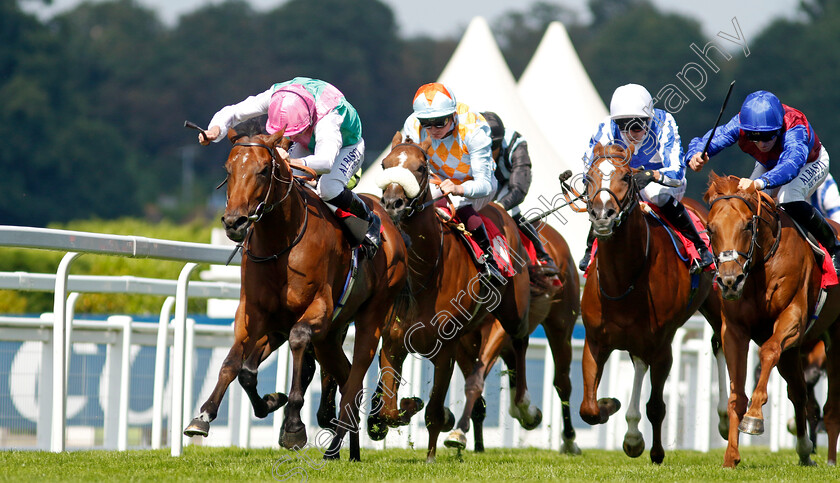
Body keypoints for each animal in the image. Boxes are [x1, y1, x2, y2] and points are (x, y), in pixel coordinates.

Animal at [182, 126, 408, 464]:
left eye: (264, 170)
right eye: (228, 169)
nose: (234, 222)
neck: (280, 244)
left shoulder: (317, 309)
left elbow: (299, 341)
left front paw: (292, 426)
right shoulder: (255, 313)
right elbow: (236, 366)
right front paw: (206, 416)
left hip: (372, 317)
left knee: (354, 378)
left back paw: (336, 446)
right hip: (330, 336)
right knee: (345, 380)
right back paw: (346, 450)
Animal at [370, 131, 532, 462]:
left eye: (421, 168)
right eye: (384, 164)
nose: (392, 204)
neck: (422, 275)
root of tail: (501, 211)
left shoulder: (444, 349)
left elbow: (433, 410)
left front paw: (431, 452)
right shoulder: (393, 342)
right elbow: (391, 409)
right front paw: (408, 406)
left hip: (513, 311)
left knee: (519, 341)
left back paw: (524, 405)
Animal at [446, 221, 584, 456]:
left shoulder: (498, 329)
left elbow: (476, 380)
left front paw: (460, 433)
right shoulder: (463, 342)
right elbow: (477, 393)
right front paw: (474, 443)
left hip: (561, 328)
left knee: (562, 383)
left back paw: (569, 440)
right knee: (517, 361)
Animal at [580, 143, 724, 466]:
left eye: (625, 176)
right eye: (587, 177)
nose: (602, 215)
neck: (623, 279)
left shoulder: (662, 346)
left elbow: (657, 405)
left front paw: (655, 452)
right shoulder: (595, 342)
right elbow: (588, 409)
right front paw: (611, 405)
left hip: (719, 304)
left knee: (721, 343)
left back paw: (724, 416)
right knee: (638, 365)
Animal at [704, 174, 840, 468]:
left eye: (747, 225)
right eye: (710, 228)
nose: (729, 281)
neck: (758, 267)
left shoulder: (794, 317)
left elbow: (767, 350)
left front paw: (754, 417)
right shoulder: (734, 330)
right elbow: (736, 393)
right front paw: (731, 456)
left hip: (835, 337)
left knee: (831, 405)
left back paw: (830, 459)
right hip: (794, 353)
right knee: (799, 392)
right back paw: (805, 450)